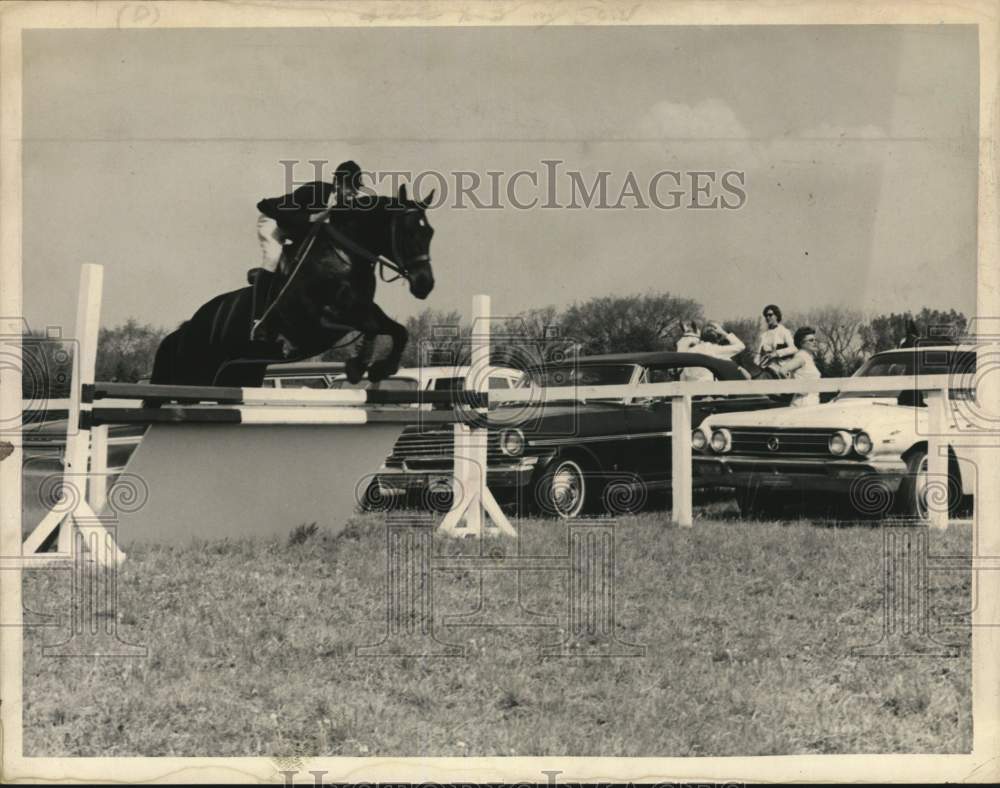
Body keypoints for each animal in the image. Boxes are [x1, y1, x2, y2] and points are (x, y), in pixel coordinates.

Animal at [148, 185, 434, 394]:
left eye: (430, 232)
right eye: (408, 232)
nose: (425, 284)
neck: (345, 256)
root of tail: (188, 327)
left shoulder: (363, 309)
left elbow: (398, 330)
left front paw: (378, 369)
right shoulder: (321, 318)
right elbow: (373, 327)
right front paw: (360, 366)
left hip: (241, 373)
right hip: (196, 374)